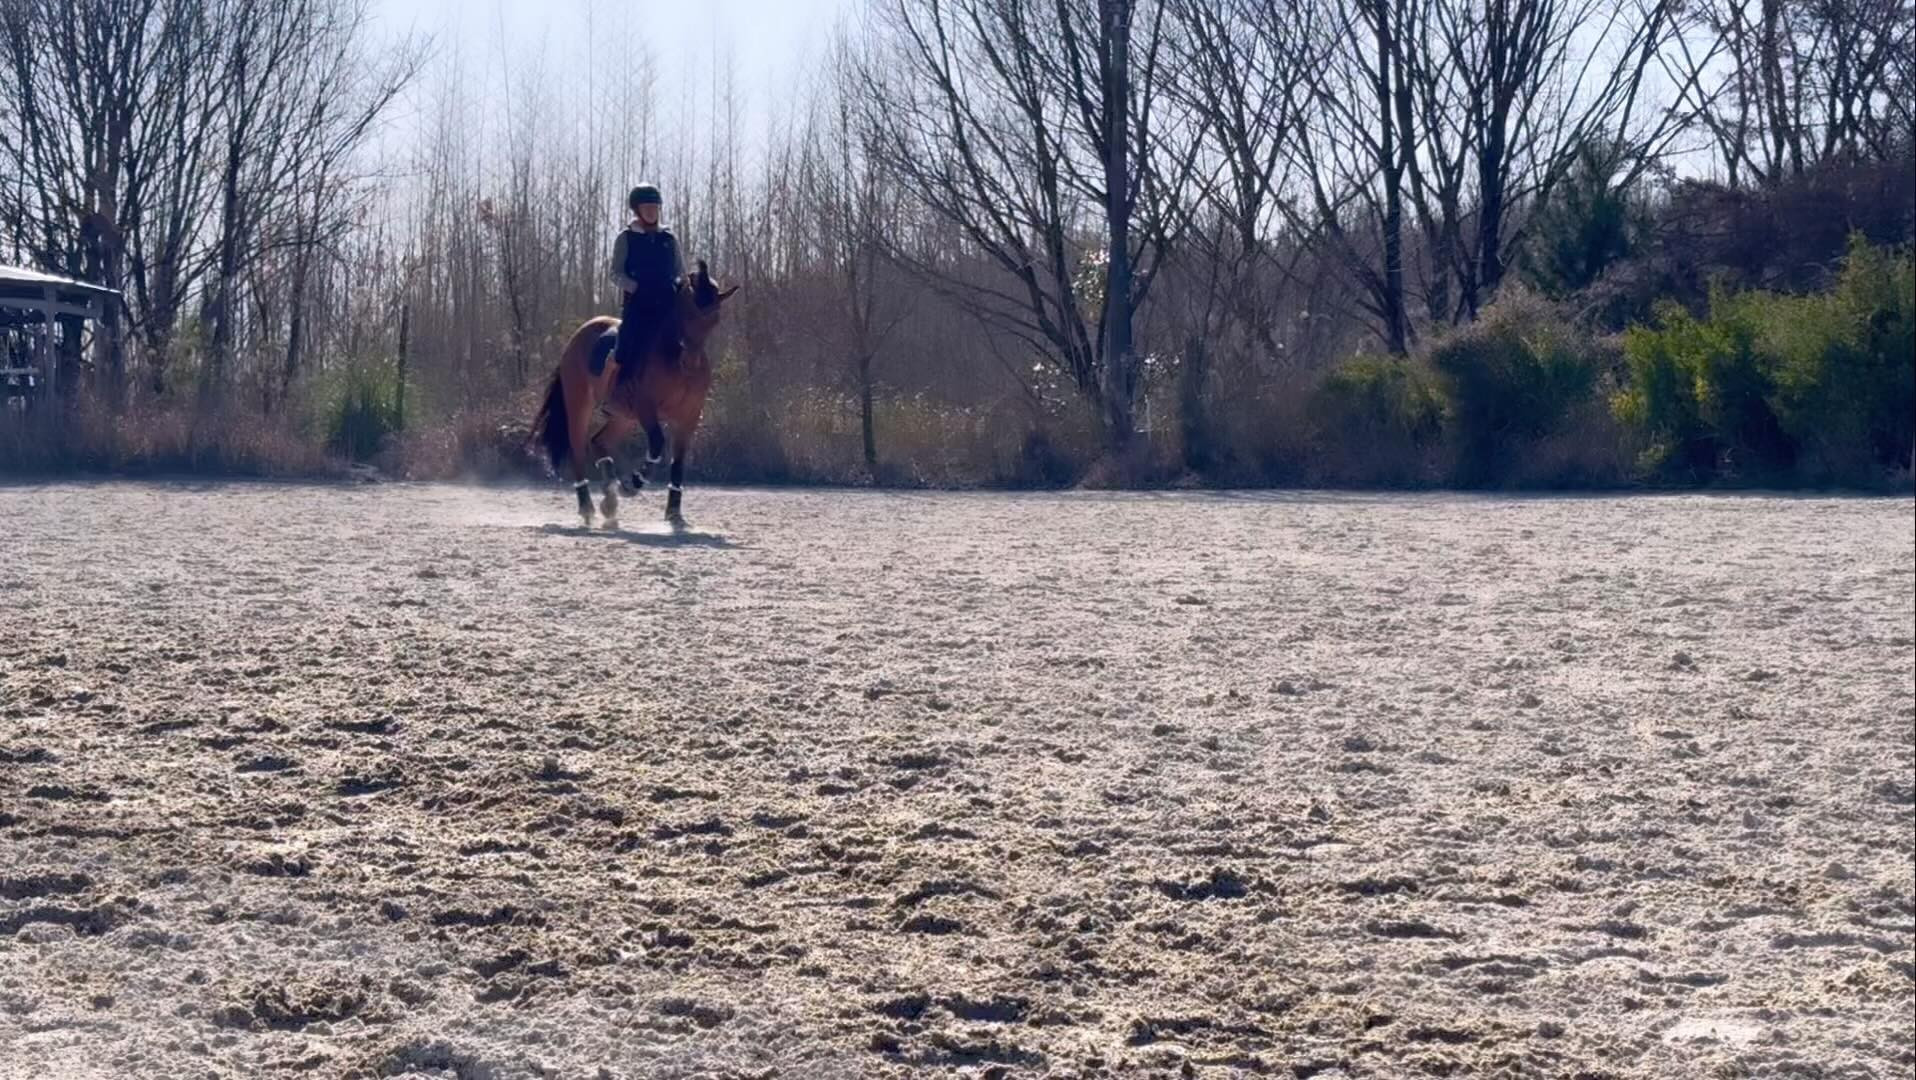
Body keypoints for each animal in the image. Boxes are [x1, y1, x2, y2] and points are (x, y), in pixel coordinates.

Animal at [536, 264, 735, 528]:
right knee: (578, 448)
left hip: (624, 417)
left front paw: (674, 514)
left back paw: (610, 500)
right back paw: (588, 507)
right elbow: (657, 444)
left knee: (598, 441)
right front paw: (633, 483)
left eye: (715, 319)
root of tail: (580, 333)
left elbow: (678, 462)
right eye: (688, 313)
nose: (690, 362)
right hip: (580, 403)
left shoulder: (688, 416)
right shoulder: (645, 407)